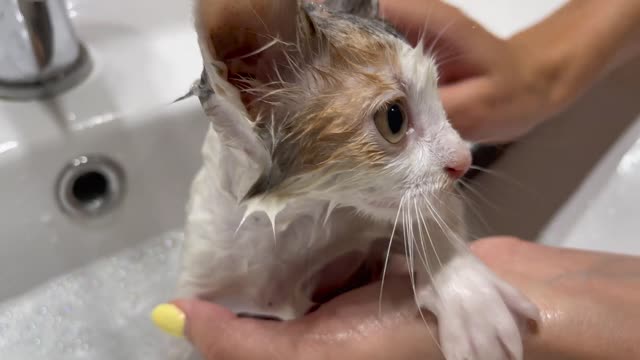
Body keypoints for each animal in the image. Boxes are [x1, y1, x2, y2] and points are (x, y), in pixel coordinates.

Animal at [175, 0, 540, 360]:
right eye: (394, 119)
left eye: (439, 95)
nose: (463, 161)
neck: (298, 221)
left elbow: (431, 212)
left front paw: (468, 293)